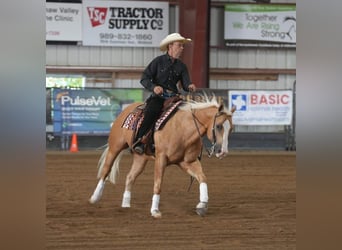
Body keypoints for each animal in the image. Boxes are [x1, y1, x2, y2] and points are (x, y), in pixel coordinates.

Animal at [89, 94, 235, 218]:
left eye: (231, 129)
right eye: (219, 126)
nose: (223, 151)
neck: (183, 128)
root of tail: (128, 109)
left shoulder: (187, 162)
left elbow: (202, 177)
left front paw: (202, 205)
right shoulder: (161, 158)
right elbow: (158, 184)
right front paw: (155, 211)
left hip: (140, 158)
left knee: (130, 177)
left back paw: (126, 204)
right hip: (115, 147)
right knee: (106, 170)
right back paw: (95, 197)